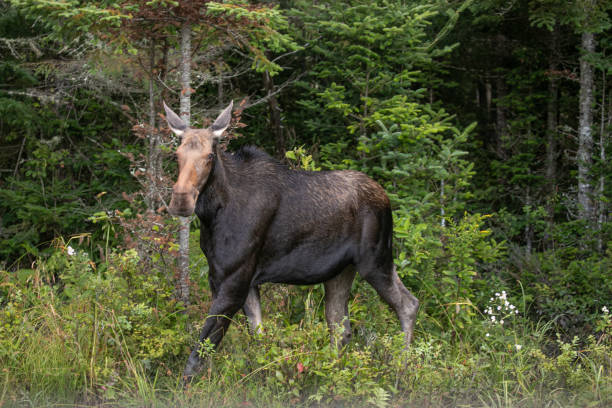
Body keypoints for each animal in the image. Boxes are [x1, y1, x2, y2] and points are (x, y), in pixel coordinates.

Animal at [164, 101, 420, 380]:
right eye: (176, 155)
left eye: (210, 156)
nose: (181, 200)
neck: (213, 214)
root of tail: (385, 197)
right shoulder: (230, 279)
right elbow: (257, 337)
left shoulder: (235, 279)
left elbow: (201, 349)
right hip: (340, 272)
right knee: (340, 327)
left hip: (376, 260)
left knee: (408, 304)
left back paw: (402, 369)